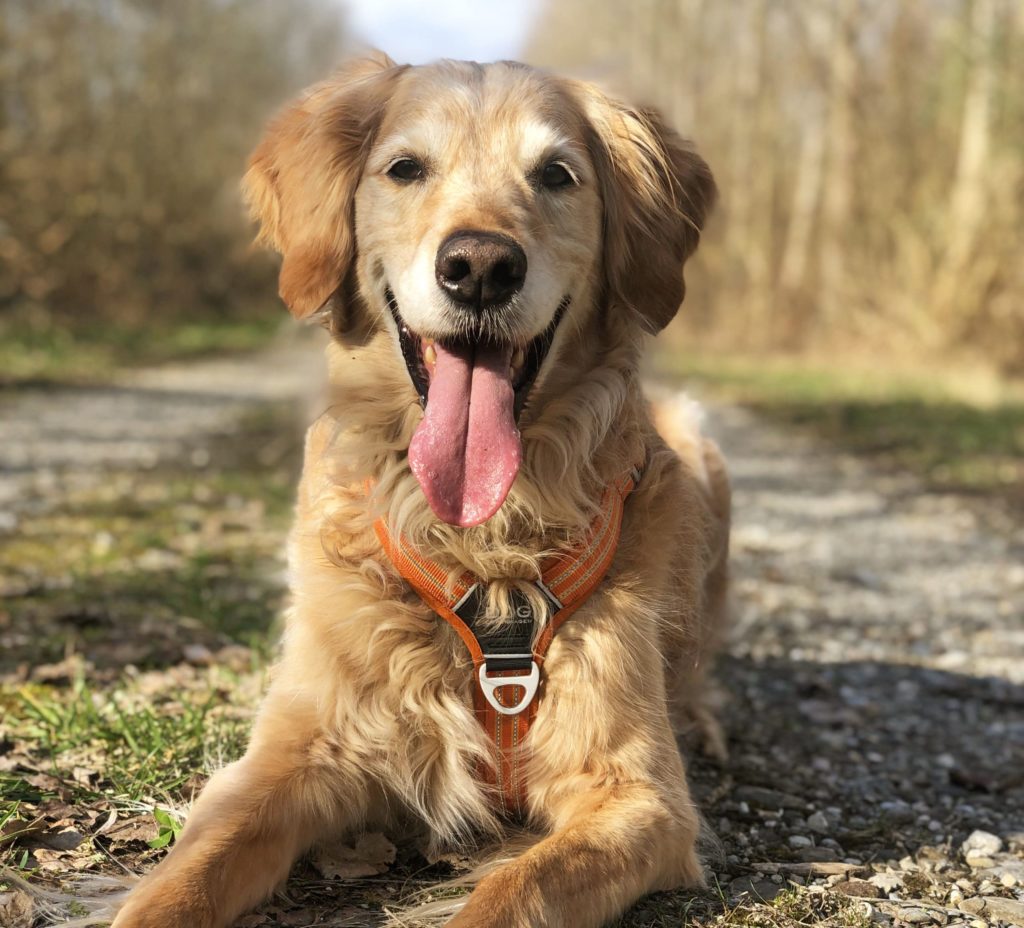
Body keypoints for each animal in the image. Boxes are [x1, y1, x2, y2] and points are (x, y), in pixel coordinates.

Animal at [110, 52, 729, 925]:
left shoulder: (642, 798)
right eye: (405, 168)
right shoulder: (293, 752)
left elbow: (514, 890)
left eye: (556, 175)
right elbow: (187, 872)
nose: (481, 268)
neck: (484, 552)